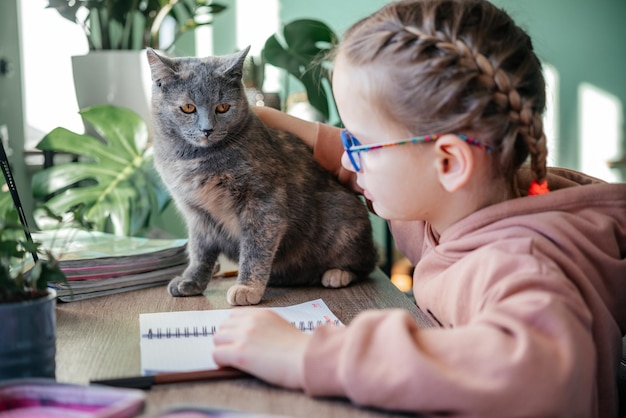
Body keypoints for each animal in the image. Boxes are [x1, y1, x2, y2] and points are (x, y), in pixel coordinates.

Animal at [145, 47, 376, 306]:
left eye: (222, 107)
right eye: (187, 108)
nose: (207, 129)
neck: (194, 160)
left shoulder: (263, 202)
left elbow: (255, 249)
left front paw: (247, 288)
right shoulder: (198, 214)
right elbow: (199, 251)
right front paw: (191, 281)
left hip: (345, 215)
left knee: (367, 262)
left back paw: (337, 274)